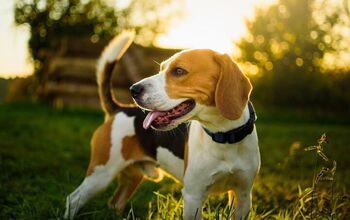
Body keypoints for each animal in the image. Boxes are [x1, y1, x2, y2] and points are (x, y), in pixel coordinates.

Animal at [64, 31, 260, 220]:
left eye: (179, 71)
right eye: (161, 69)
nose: (133, 90)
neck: (224, 137)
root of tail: (119, 108)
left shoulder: (243, 195)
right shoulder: (193, 196)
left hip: (132, 176)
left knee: (115, 203)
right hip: (101, 174)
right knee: (73, 199)